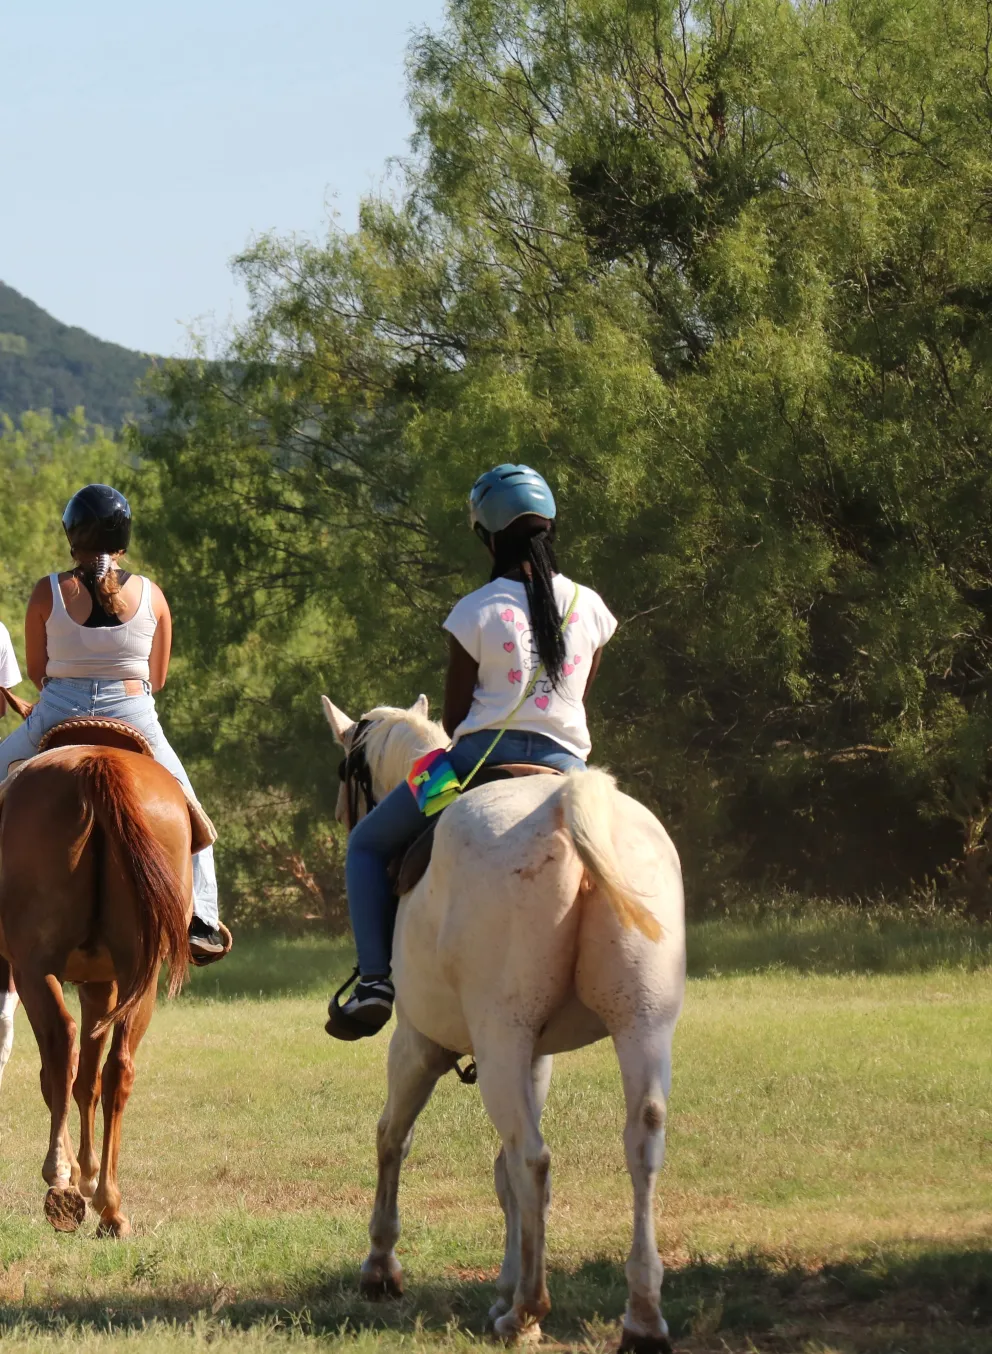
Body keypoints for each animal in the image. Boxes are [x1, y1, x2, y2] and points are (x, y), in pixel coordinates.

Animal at [0, 736, 192, 1236]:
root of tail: (96, 765)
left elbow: (65, 1076)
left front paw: (76, 1171)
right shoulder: (101, 984)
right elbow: (89, 1079)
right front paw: (87, 1173)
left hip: (34, 970)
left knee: (60, 1049)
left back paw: (60, 1181)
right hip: (139, 974)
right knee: (116, 1068)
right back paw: (110, 1206)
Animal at [322, 693, 686, 1351]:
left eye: (346, 772)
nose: (343, 814)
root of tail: (568, 803)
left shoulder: (420, 1043)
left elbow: (394, 1137)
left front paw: (382, 1266)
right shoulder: (536, 1057)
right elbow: (502, 1178)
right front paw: (501, 1284)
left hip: (497, 1041)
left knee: (533, 1158)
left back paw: (528, 1311)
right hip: (640, 1027)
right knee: (639, 1144)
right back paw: (641, 1316)